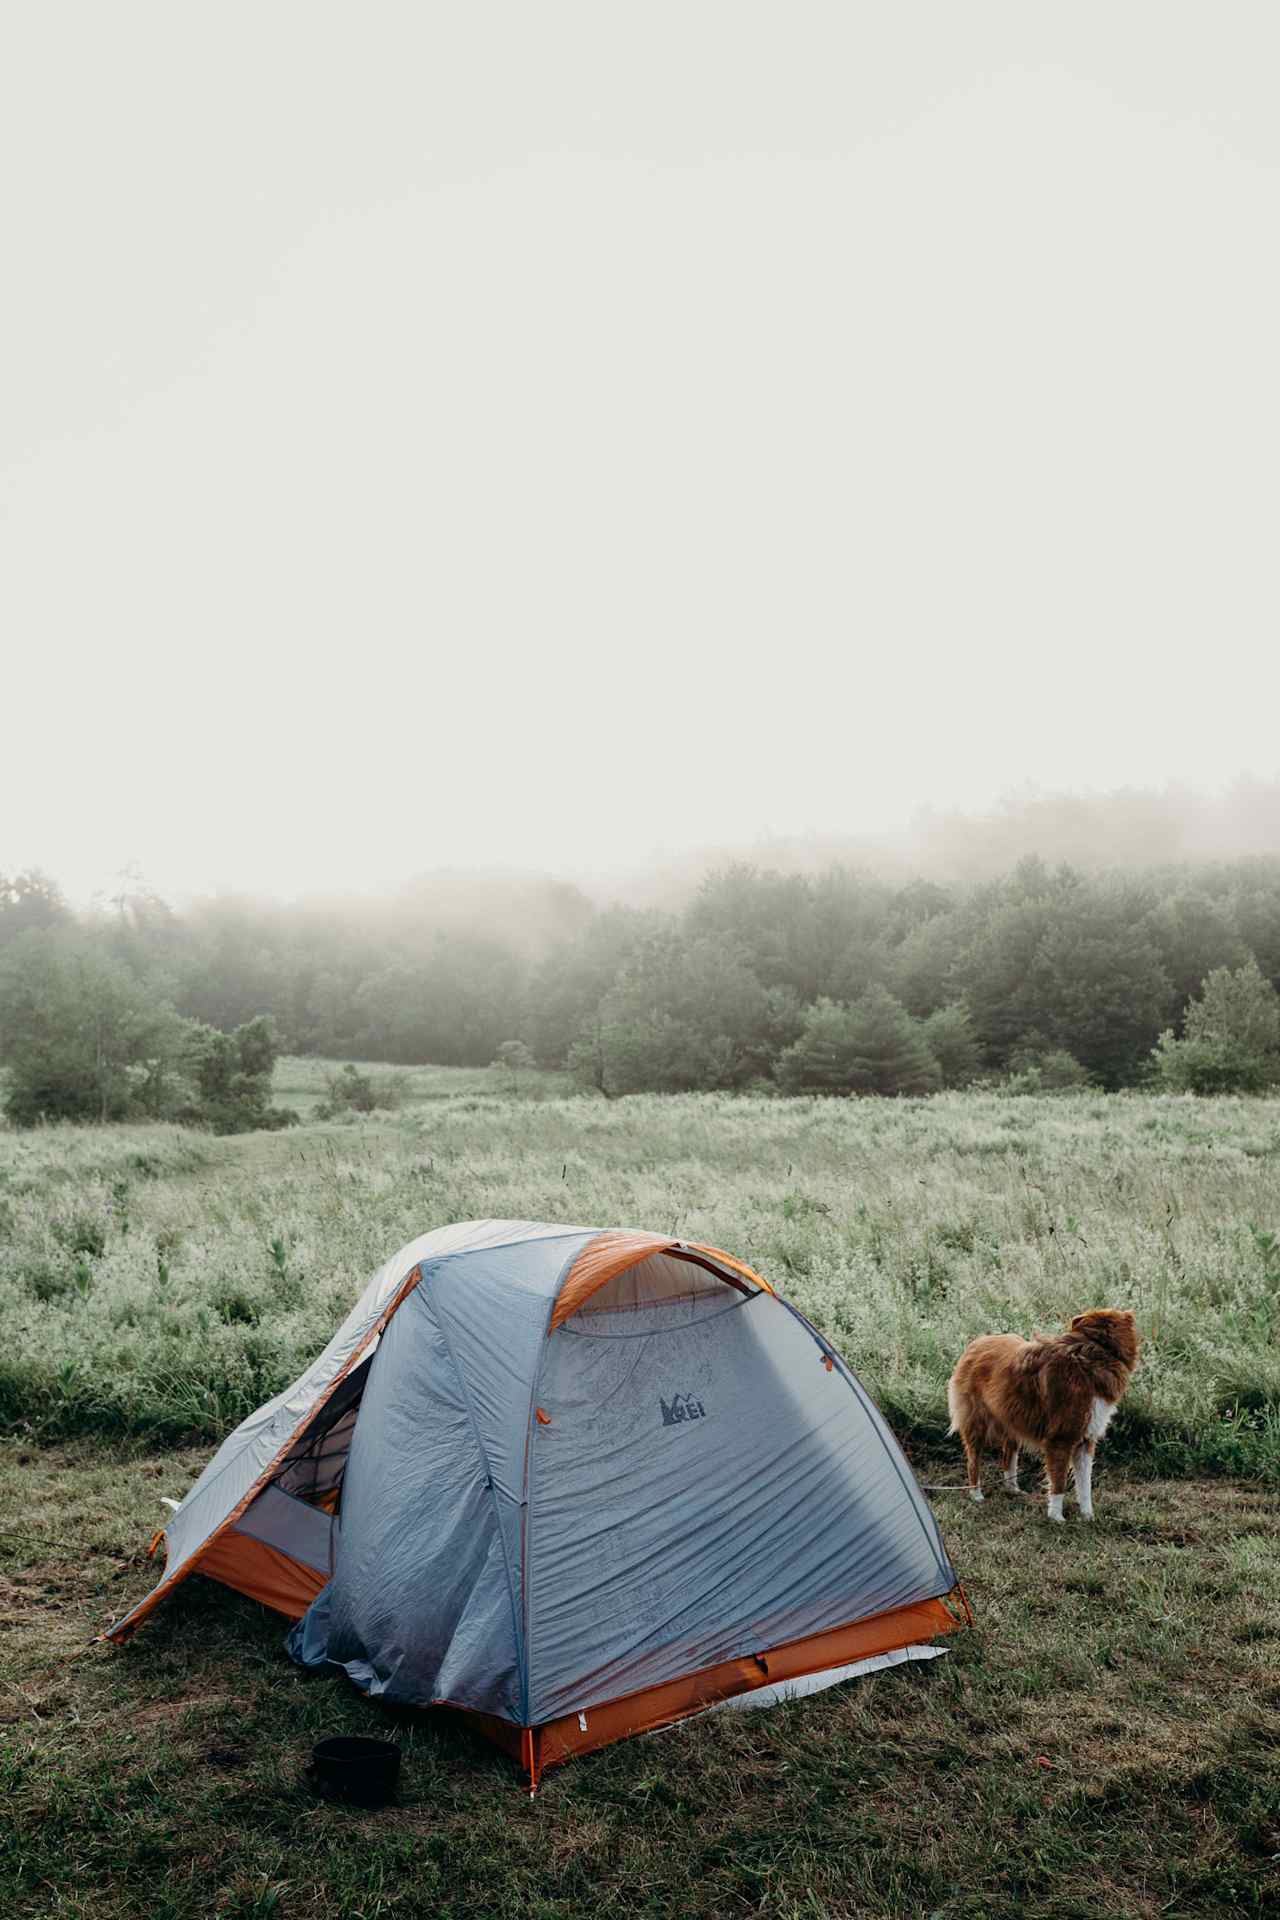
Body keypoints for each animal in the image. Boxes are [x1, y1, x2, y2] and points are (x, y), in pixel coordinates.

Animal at [940, 1313, 1143, 1520]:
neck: (1095, 1351)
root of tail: (976, 1343)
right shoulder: (1060, 1440)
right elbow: (1059, 1482)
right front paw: (1056, 1517)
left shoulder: (1086, 1441)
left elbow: (1085, 1484)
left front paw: (1088, 1516)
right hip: (977, 1423)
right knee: (973, 1461)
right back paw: (976, 1495)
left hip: (1012, 1419)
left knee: (1008, 1456)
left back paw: (1013, 1489)